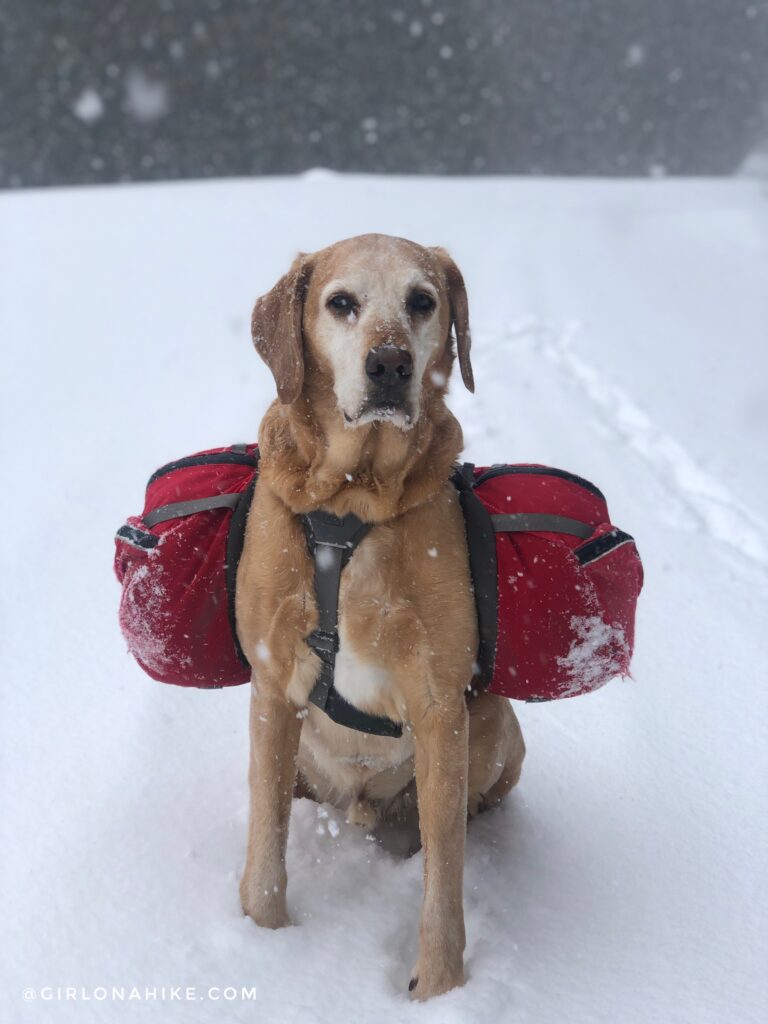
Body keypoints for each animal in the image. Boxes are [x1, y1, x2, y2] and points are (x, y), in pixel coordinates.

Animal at [237, 234, 528, 999]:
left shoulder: (439, 707)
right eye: (341, 302)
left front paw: (440, 988)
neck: (353, 499)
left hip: (492, 720)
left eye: (422, 300)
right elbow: (266, 850)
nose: (391, 364)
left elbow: (445, 882)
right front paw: (263, 942)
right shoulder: (272, 688)